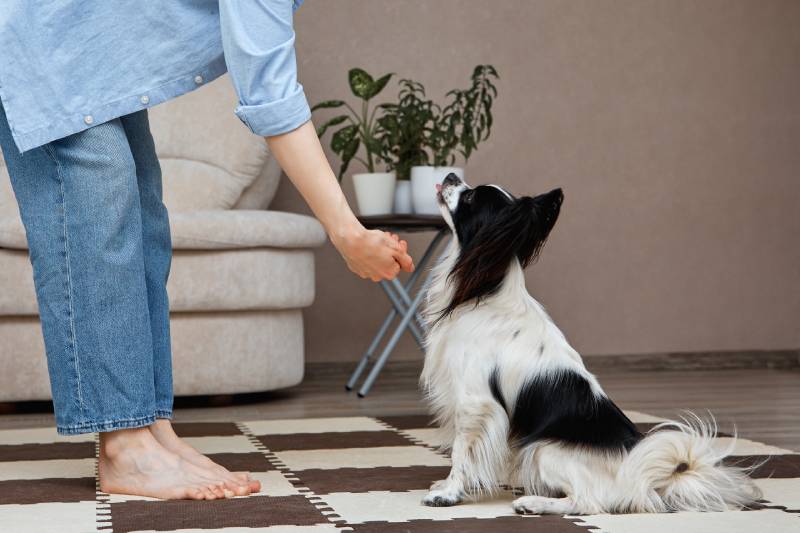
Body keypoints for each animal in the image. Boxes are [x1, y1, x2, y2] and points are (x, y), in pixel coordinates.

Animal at [418, 172, 764, 512]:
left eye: (471, 197)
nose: (450, 175)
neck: (483, 291)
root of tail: (640, 480)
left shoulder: (475, 403)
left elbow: (461, 452)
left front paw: (448, 494)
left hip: (543, 449)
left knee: (586, 502)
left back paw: (533, 503)